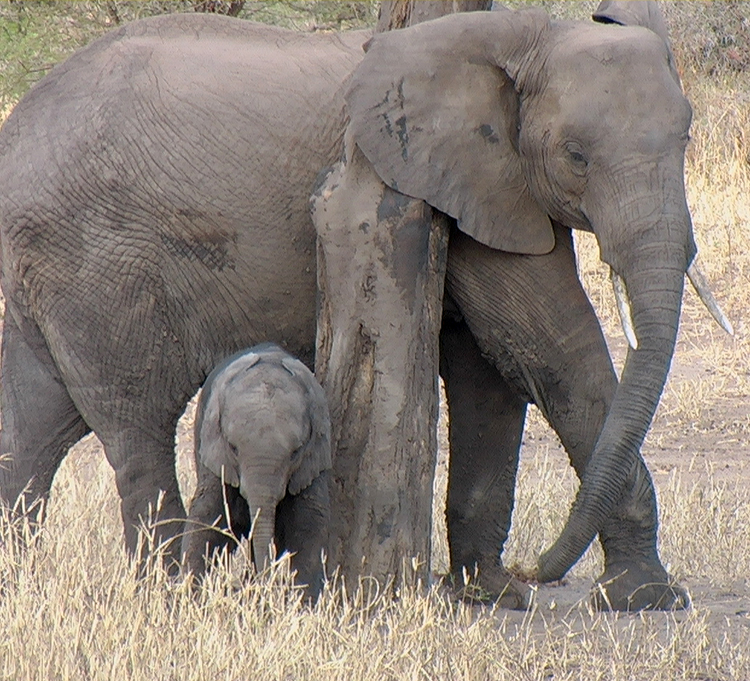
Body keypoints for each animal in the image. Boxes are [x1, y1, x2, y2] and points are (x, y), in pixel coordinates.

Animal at [182, 342, 331, 598]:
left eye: (296, 452)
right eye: (233, 447)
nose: (265, 585)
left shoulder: (313, 460)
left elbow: (309, 524)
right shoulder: (215, 456)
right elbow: (208, 517)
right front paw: (192, 594)